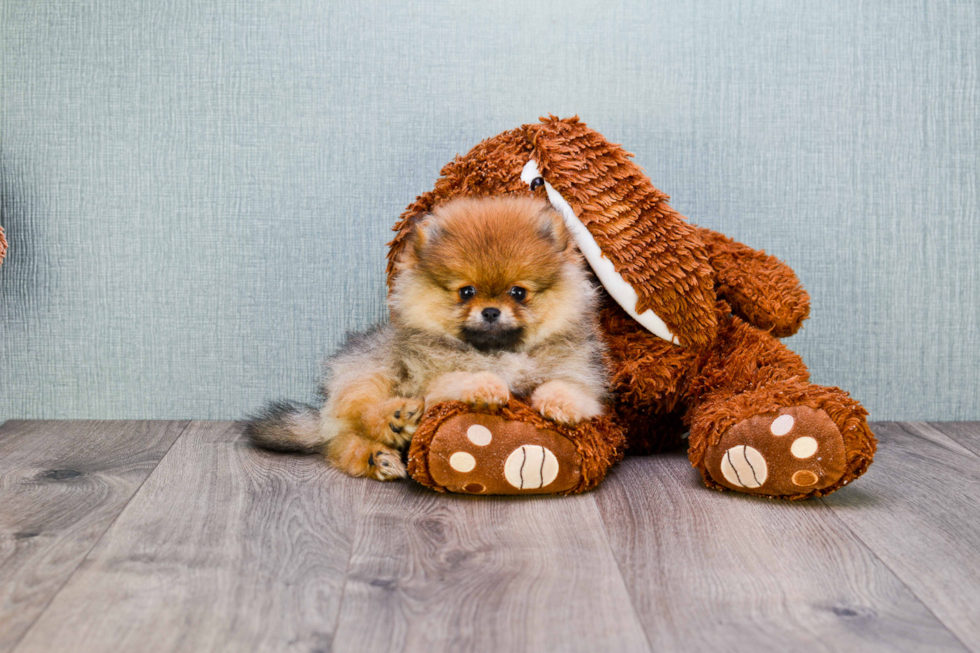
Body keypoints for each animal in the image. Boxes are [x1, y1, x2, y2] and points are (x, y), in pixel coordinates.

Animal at [247, 195, 604, 478]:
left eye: (519, 292)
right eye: (466, 291)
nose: (490, 311)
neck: (498, 352)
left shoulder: (582, 376)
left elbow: (570, 387)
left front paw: (559, 403)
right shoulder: (433, 382)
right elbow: (460, 378)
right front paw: (486, 386)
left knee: (340, 444)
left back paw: (378, 457)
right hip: (373, 372)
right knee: (358, 419)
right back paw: (392, 424)